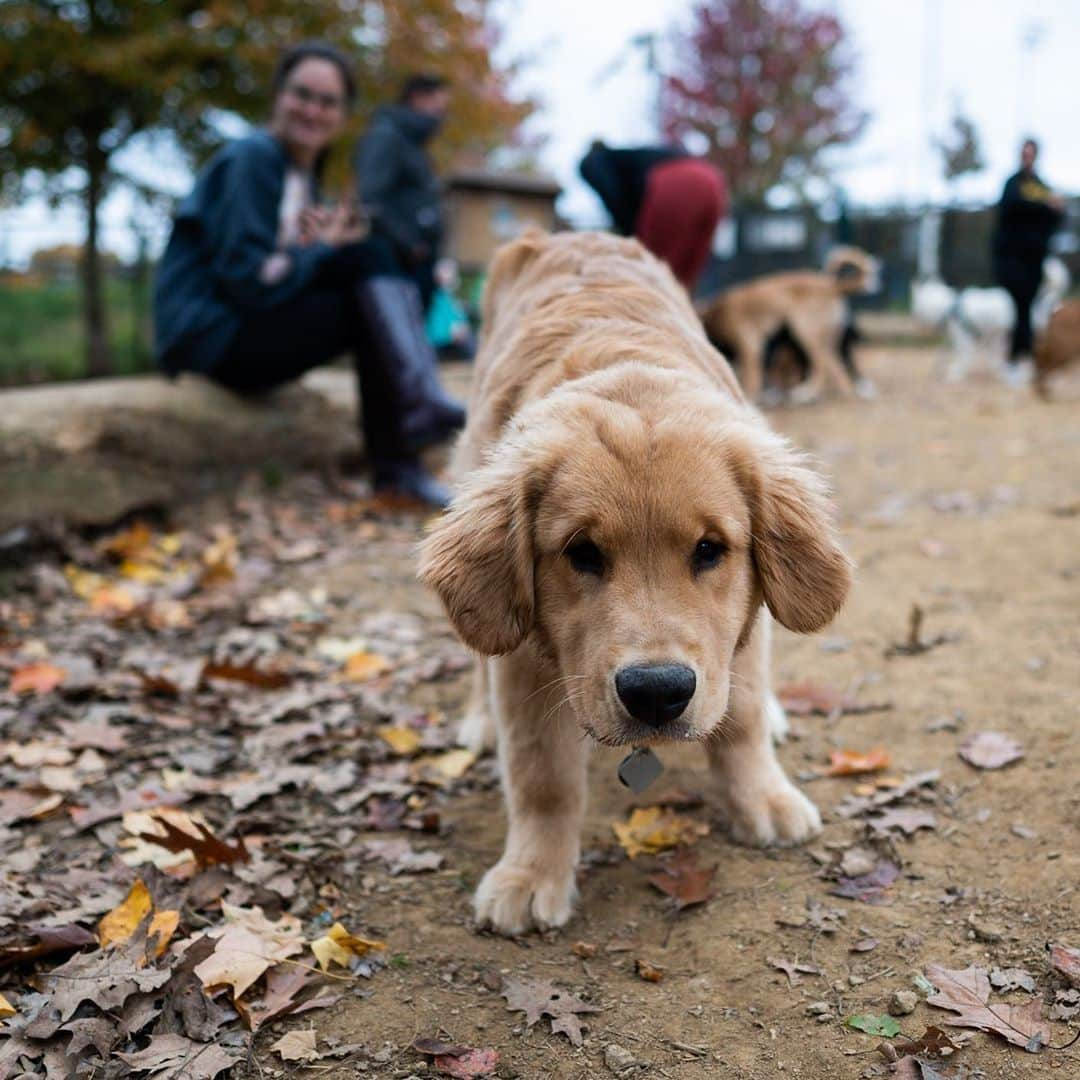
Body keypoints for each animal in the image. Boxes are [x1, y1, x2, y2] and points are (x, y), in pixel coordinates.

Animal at [419, 230, 851, 937]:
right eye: (581, 553)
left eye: (709, 550)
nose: (657, 694)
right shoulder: (529, 657)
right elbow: (542, 774)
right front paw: (532, 873)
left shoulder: (740, 628)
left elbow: (741, 716)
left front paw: (762, 796)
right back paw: (480, 722)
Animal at [695, 247, 881, 406]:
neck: (719, 312)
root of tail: (832, 286)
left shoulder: (751, 348)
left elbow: (752, 379)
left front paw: (754, 396)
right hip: (821, 338)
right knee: (838, 368)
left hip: (806, 331)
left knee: (822, 365)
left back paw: (806, 393)